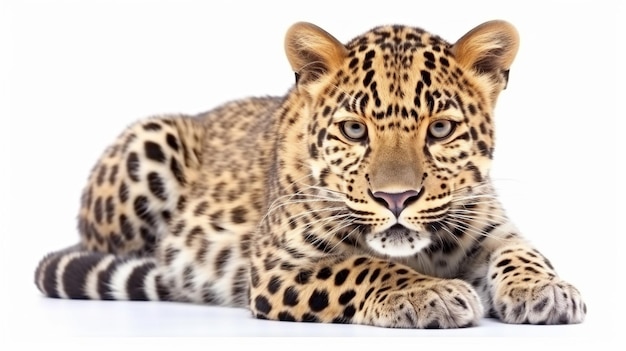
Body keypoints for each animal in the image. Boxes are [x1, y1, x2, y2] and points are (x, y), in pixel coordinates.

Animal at [35, 19, 584, 328]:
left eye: (441, 129)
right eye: (354, 130)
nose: (397, 198)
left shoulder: (489, 225)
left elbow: (523, 251)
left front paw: (546, 290)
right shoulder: (277, 264)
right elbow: (362, 266)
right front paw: (429, 292)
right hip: (150, 139)